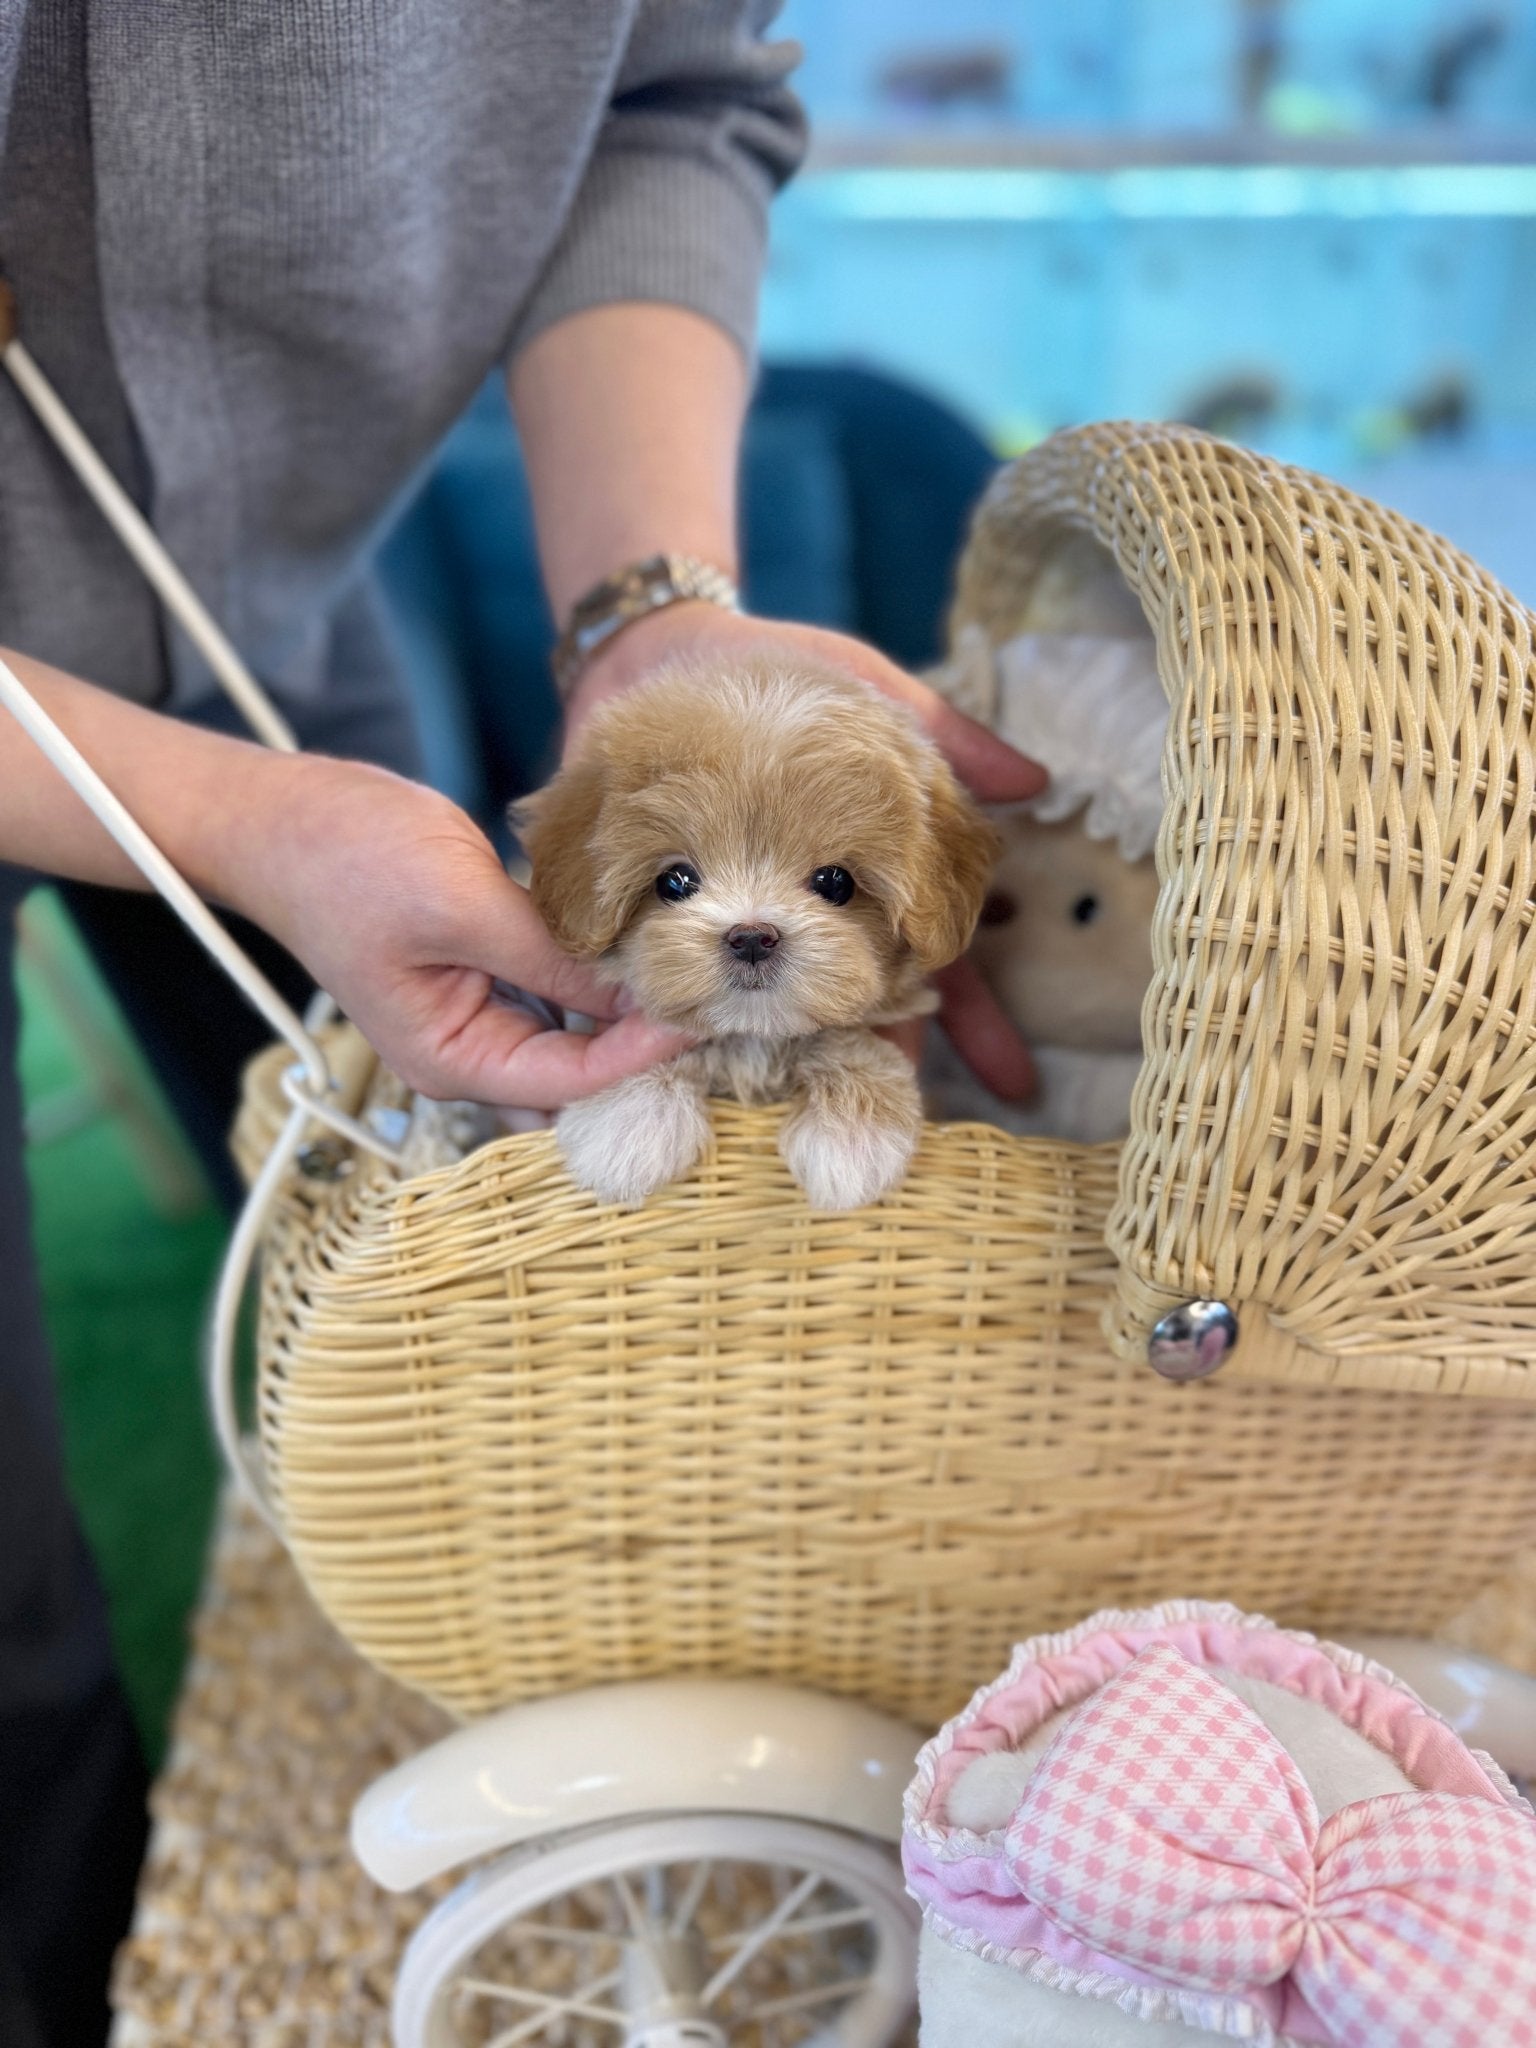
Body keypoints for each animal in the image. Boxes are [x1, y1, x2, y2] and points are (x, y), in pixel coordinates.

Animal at [518, 655, 999, 1204]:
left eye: (835, 882)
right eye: (674, 881)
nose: (751, 936)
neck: (753, 1037)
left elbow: (849, 1038)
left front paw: (855, 1133)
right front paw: (628, 1118)